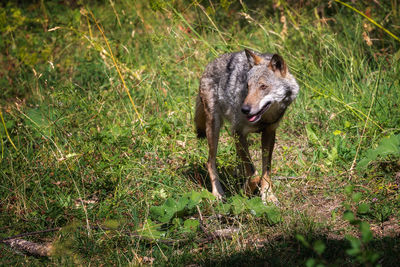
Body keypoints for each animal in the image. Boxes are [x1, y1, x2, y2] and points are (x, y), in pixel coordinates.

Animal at [194, 49, 300, 205]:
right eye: (247, 87)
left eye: (263, 87)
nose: (244, 109)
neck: (264, 118)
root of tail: (210, 64)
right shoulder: (238, 132)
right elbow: (254, 174)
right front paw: (244, 193)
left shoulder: (269, 132)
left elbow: (265, 170)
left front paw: (268, 195)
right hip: (214, 129)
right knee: (210, 162)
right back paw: (217, 193)